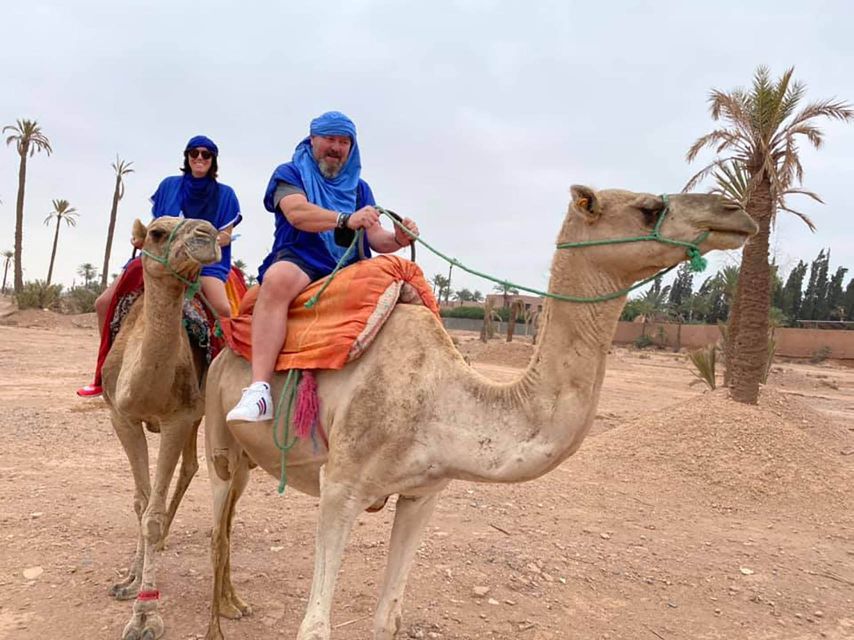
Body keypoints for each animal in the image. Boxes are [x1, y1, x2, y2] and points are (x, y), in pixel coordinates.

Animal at [103, 215, 221, 640]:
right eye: (156, 233)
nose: (206, 234)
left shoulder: (178, 418)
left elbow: (151, 516)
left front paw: (144, 616)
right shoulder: (122, 416)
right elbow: (141, 502)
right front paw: (130, 579)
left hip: (201, 413)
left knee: (188, 469)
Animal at [204, 186, 760, 640]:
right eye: (648, 207)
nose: (737, 212)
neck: (441, 398)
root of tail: (225, 346)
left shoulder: (423, 493)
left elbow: (389, 617)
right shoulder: (341, 485)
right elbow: (315, 626)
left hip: (249, 459)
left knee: (228, 521)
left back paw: (234, 603)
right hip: (218, 430)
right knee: (214, 523)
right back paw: (217, 619)